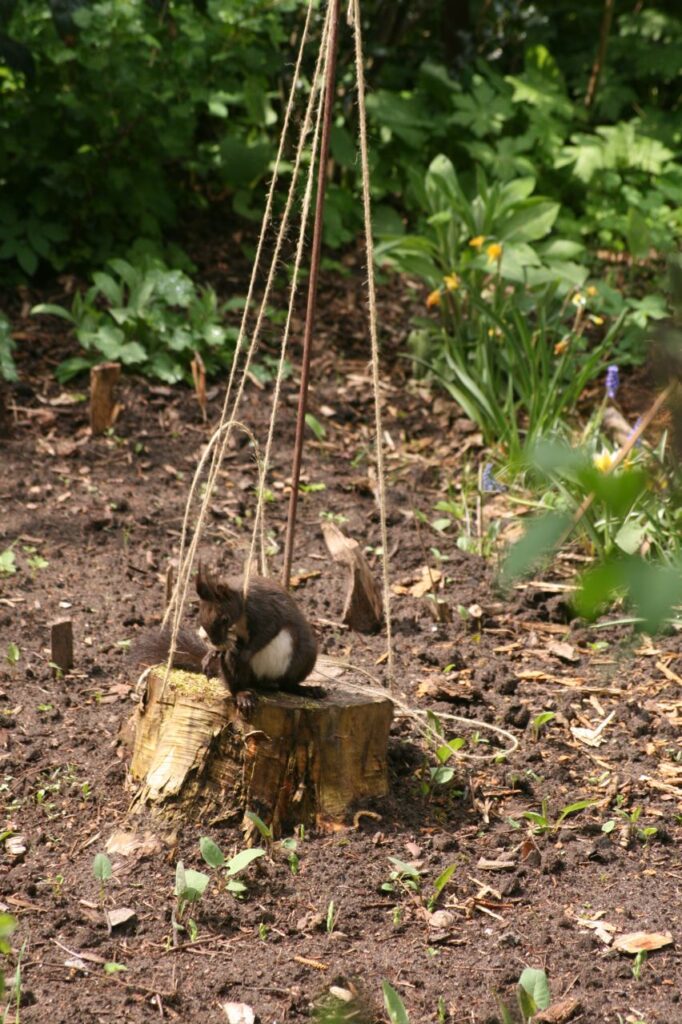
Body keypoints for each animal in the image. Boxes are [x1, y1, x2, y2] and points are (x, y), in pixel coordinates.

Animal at [134, 563, 320, 714]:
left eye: (225, 619)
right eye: (200, 619)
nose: (216, 642)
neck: (242, 602)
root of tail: (265, 681)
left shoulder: (266, 610)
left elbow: (266, 633)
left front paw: (243, 653)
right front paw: (212, 654)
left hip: (305, 658)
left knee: (288, 684)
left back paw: (306, 690)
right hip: (238, 674)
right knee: (236, 682)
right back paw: (243, 694)